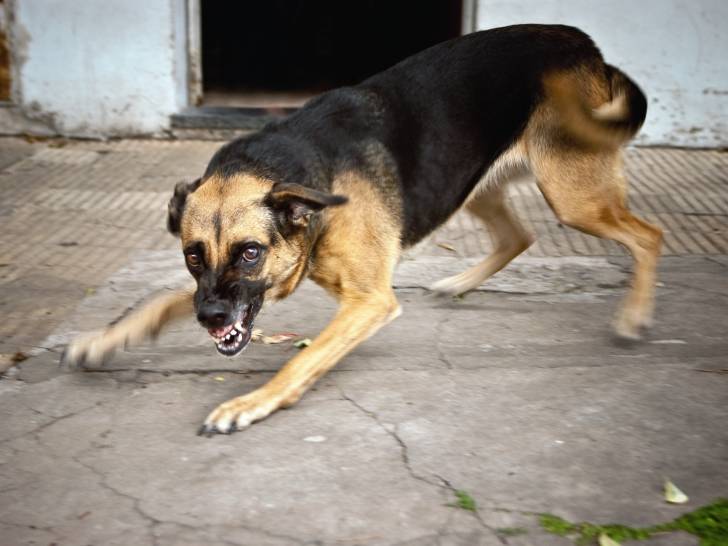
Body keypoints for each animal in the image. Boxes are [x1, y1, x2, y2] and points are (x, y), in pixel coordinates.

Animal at [65, 24, 664, 434]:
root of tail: (585, 44)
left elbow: (301, 359)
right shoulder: (228, 290)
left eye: (250, 252)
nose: (211, 320)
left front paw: (249, 404)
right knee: (520, 237)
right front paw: (105, 339)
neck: (310, 188)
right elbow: (162, 301)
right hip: (474, 184)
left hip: (574, 199)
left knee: (649, 236)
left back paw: (633, 315)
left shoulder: (368, 301)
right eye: (193, 254)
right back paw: (460, 284)